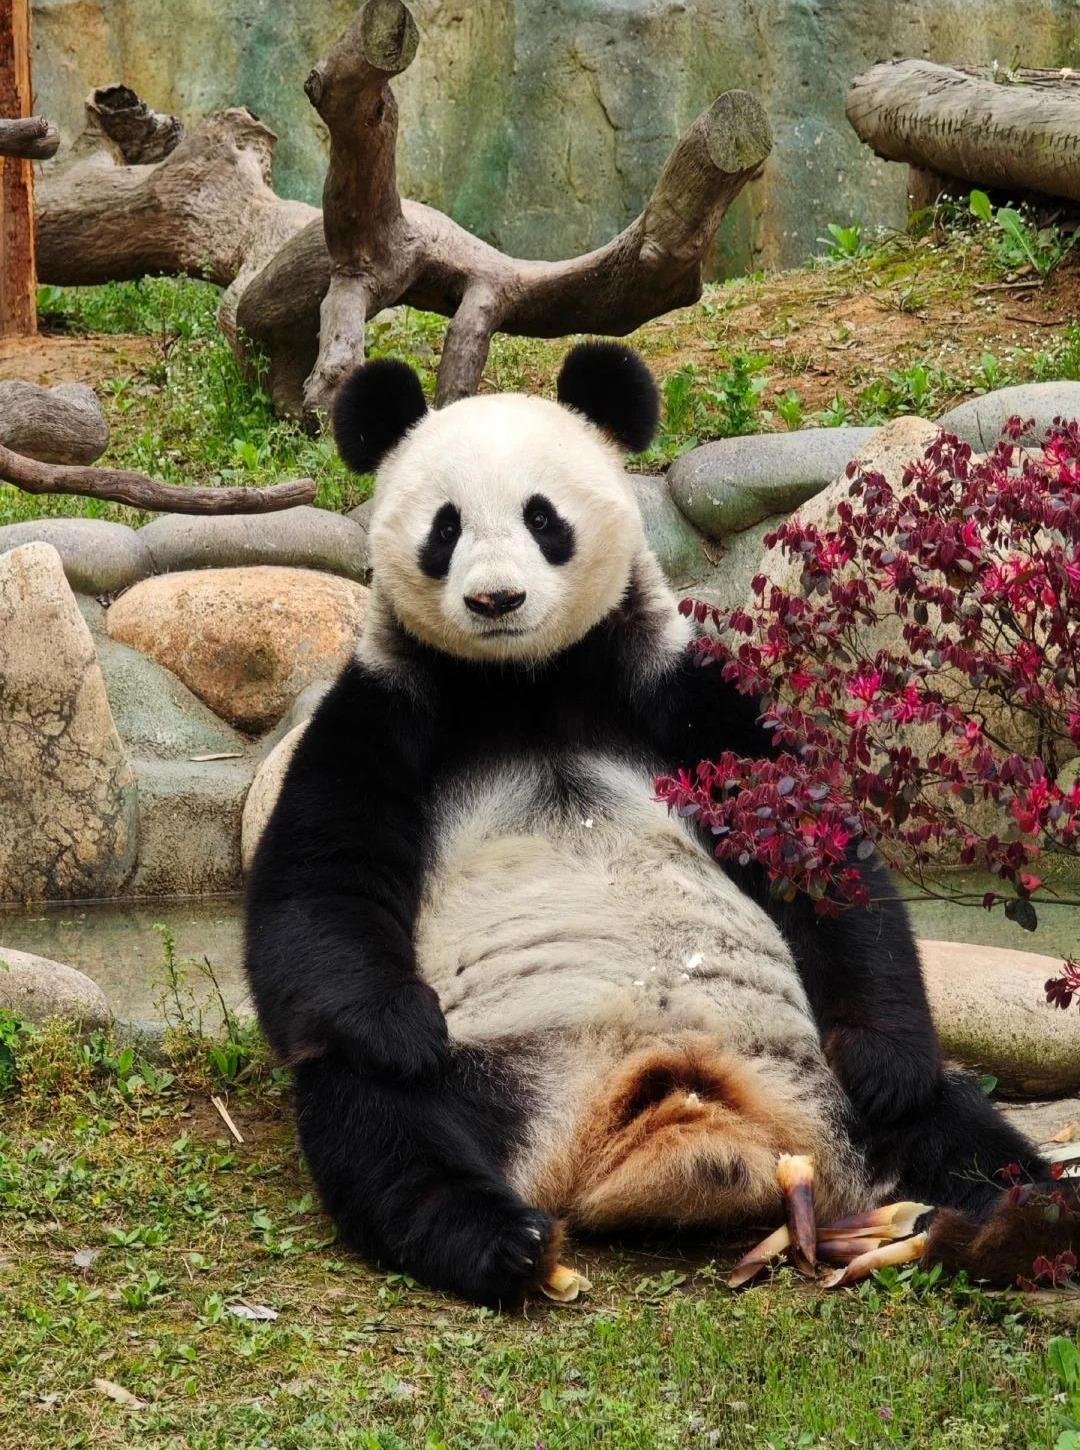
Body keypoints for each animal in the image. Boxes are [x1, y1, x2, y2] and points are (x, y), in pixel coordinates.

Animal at [245, 341, 1074, 1306]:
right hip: (499, 1072)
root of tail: (671, 1118)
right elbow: (319, 882)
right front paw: (400, 1029)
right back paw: (499, 1238)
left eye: (542, 517)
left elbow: (814, 856)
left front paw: (887, 1054)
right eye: (444, 529)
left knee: (946, 1121)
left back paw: (1021, 1217)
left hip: (813, 1073)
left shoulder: (678, 694)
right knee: (380, 1124)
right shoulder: (384, 711)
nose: (495, 601)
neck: (525, 684)